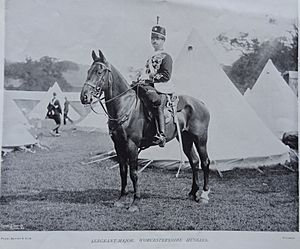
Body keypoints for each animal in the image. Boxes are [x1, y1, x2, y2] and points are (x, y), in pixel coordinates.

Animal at [81, 49, 210, 211]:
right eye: (88, 71)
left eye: (99, 72)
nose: (84, 97)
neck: (124, 105)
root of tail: (200, 103)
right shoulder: (118, 145)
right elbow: (123, 171)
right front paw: (121, 198)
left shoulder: (132, 145)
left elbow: (134, 173)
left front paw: (135, 202)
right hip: (185, 139)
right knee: (194, 161)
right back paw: (193, 192)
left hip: (200, 139)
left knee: (205, 162)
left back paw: (204, 195)